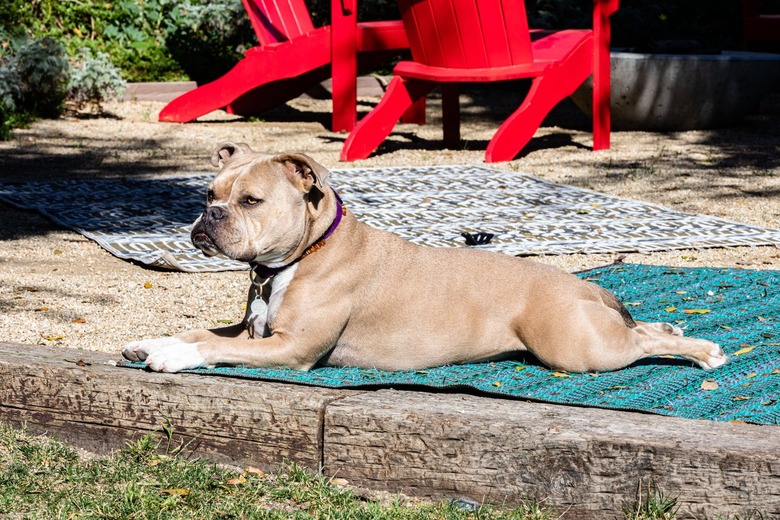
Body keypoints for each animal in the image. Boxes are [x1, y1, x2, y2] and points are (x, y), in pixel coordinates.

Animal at [119, 143, 728, 374]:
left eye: (251, 201)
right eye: (208, 193)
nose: (209, 216)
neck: (300, 256)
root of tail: (581, 284)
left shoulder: (291, 350)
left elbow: (212, 347)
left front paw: (174, 356)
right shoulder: (254, 328)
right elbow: (202, 330)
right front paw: (153, 341)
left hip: (576, 350)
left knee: (641, 344)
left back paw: (705, 353)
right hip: (592, 330)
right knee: (643, 328)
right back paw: (674, 328)